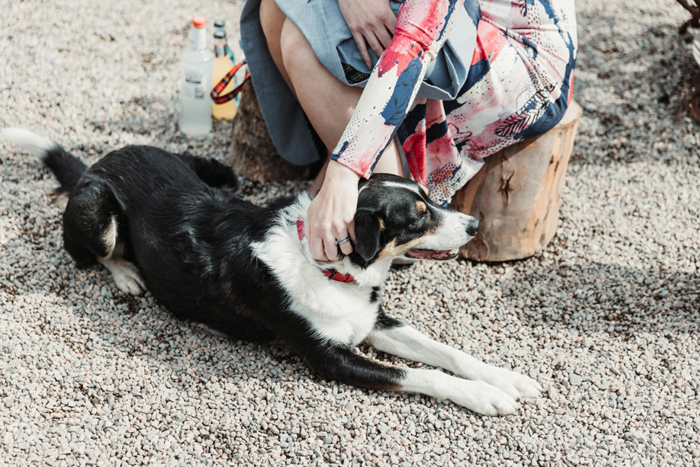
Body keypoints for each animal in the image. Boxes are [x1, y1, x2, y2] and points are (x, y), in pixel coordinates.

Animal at [1, 129, 540, 416]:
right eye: (418, 217)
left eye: (430, 197)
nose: (473, 225)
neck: (329, 269)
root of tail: (97, 164)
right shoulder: (332, 359)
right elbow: (420, 373)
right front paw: (485, 396)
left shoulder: (371, 319)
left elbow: (442, 351)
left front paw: (506, 378)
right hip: (97, 215)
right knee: (93, 251)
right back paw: (127, 273)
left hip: (212, 170)